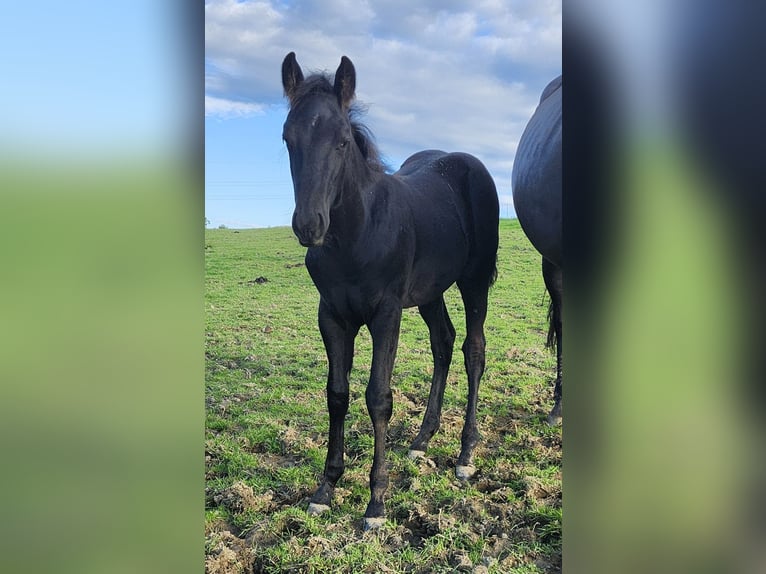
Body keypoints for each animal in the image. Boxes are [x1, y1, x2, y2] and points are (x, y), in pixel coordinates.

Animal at [281, 52, 500, 529]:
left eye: (343, 141)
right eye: (287, 138)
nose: (309, 226)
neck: (356, 234)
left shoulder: (386, 313)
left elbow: (378, 396)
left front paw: (376, 501)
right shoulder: (332, 316)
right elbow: (337, 393)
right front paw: (326, 488)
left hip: (473, 280)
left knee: (473, 349)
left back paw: (465, 454)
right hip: (431, 291)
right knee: (443, 341)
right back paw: (421, 440)